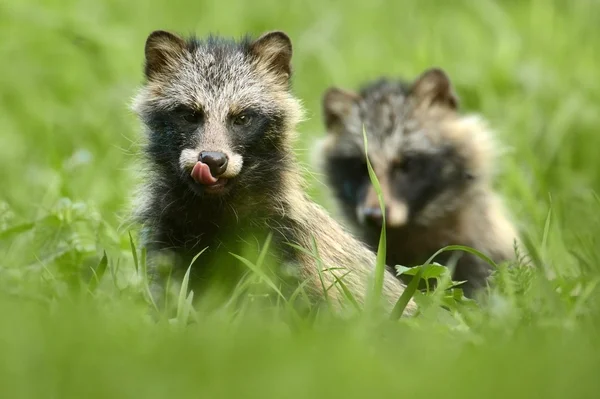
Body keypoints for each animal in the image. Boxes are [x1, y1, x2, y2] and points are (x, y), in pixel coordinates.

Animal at [130, 28, 418, 316]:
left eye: (242, 118)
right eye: (190, 115)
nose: (213, 160)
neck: (214, 206)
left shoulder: (286, 242)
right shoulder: (170, 234)